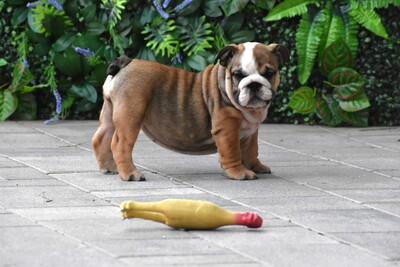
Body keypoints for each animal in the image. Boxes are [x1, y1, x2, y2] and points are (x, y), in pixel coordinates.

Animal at [92, 43, 290, 182]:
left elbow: (251, 150)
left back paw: (110, 167)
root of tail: (127, 62)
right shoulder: (227, 129)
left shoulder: (251, 132)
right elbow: (232, 152)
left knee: (101, 138)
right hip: (130, 117)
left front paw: (256, 166)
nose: (254, 84)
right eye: (238, 75)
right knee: (119, 144)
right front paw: (239, 172)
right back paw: (130, 174)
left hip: (111, 112)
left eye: (269, 73)